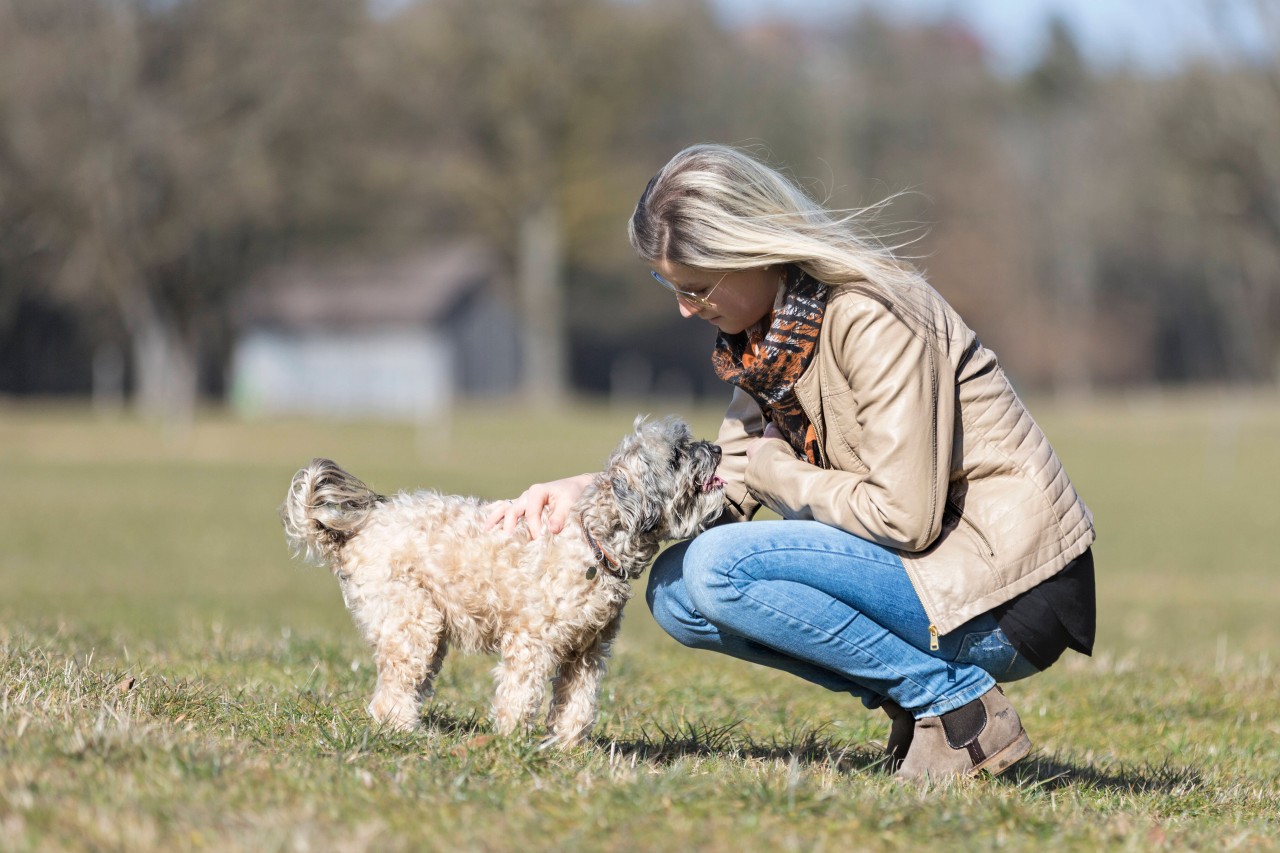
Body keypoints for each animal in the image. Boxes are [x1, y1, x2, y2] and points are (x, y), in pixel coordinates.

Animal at [280, 414, 721, 742]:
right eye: (678, 454)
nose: (717, 449)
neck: (592, 541)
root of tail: (358, 530)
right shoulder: (532, 642)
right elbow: (520, 694)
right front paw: (512, 742)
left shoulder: (588, 650)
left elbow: (577, 703)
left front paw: (567, 748)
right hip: (412, 623)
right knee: (391, 694)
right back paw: (406, 733)